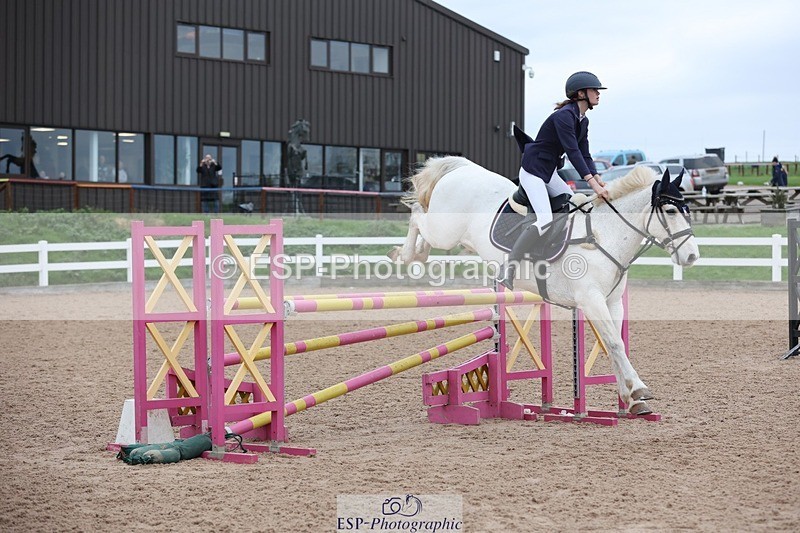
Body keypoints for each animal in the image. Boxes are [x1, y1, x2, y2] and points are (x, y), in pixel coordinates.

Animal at [388, 156, 699, 415]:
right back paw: (404, 255)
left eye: (687, 210)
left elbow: (615, 345)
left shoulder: (611, 302)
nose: (691, 256)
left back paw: (416, 254)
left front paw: (632, 400)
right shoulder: (591, 300)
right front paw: (638, 390)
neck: (603, 236)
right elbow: (613, 342)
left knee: (421, 222)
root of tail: (462, 168)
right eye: (670, 210)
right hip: (444, 231)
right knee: (417, 214)